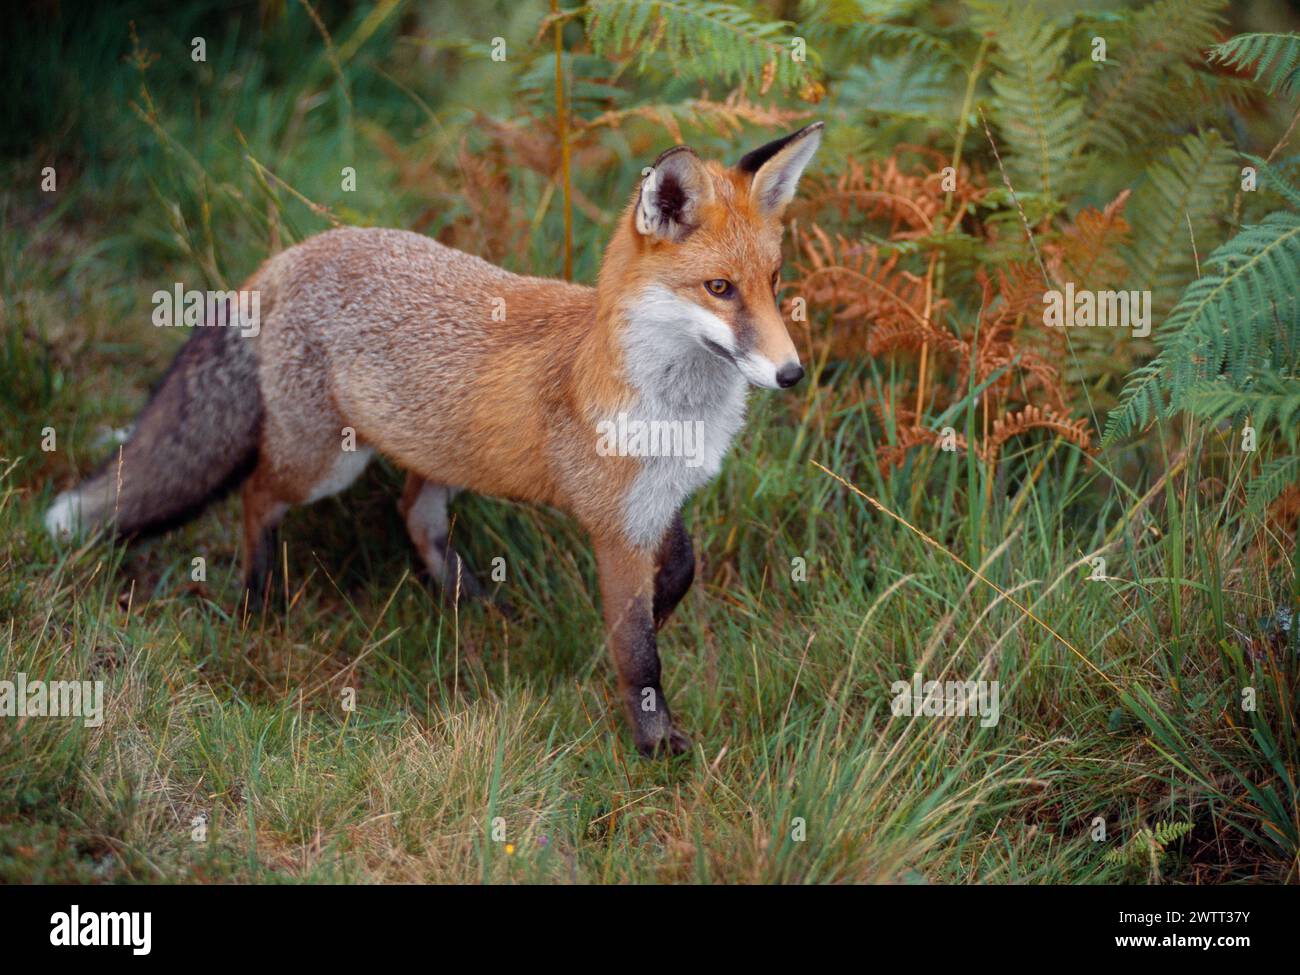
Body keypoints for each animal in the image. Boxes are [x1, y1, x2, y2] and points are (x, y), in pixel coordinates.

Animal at [50, 122, 826, 759]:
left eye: (774, 280)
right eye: (719, 288)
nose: (791, 373)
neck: (678, 408)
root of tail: (296, 253)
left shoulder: (661, 500)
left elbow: (680, 574)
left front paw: (648, 621)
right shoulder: (614, 525)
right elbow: (639, 655)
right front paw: (654, 744)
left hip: (441, 453)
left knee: (414, 515)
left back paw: (471, 604)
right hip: (326, 462)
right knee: (256, 494)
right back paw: (261, 597)